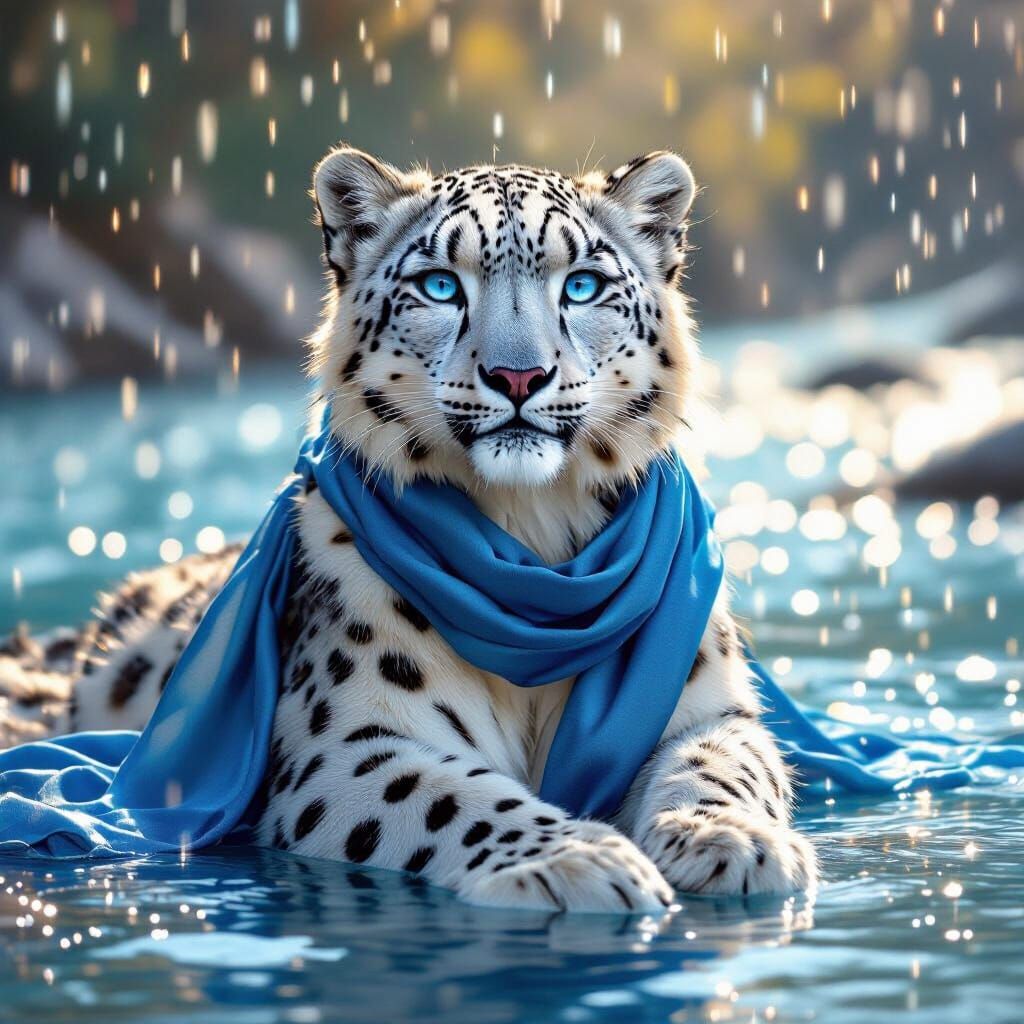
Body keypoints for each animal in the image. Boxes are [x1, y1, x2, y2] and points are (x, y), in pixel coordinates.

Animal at [0, 145, 816, 913]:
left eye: (582, 284)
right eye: (440, 285)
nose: (518, 377)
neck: (534, 544)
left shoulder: (707, 707)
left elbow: (723, 764)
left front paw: (731, 841)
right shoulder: (346, 744)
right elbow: (454, 798)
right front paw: (579, 860)